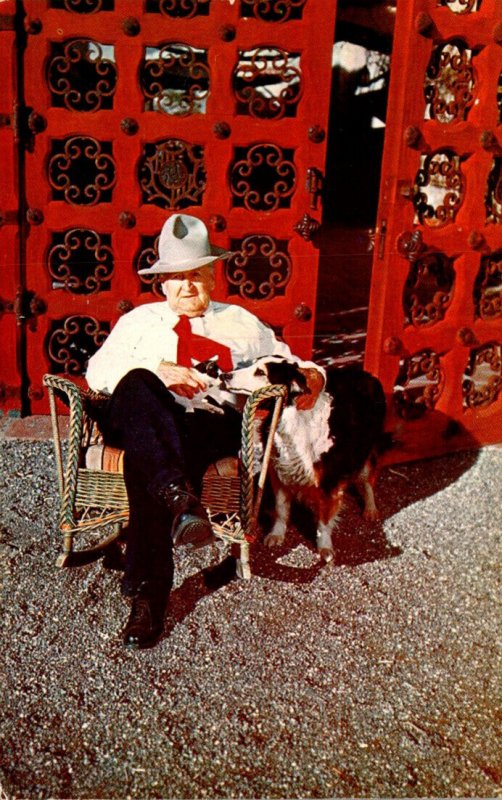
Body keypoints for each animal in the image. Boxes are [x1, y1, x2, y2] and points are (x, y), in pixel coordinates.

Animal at [220, 355, 389, 563]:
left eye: (260, 373)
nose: (224, 375)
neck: (291, 415)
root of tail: (367, 374)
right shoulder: (278, 471)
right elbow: (281, 509)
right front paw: (277, 534)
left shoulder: (329, 482)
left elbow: (324, 520)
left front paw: (324, 547)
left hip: (364, 450)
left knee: (367, 479)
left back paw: (370, 509)